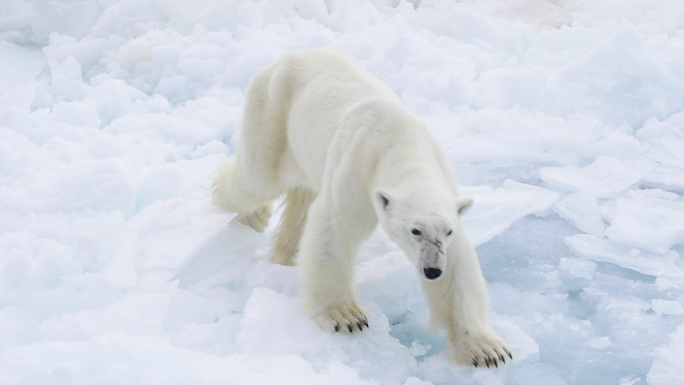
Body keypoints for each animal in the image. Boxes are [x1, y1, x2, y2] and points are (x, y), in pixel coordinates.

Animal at [211, 48, 510, 366]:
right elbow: (334, 231)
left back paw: (287, 254)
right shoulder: (357, 168)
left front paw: (487, 349)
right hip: (272, 114)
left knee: (301, 196)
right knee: (256, 179)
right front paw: (347, 317)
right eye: (414, 230)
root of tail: (286, 57)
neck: (401, 144)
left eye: (447, 231)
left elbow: (458, 267)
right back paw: (246, 217)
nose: (431, 270)